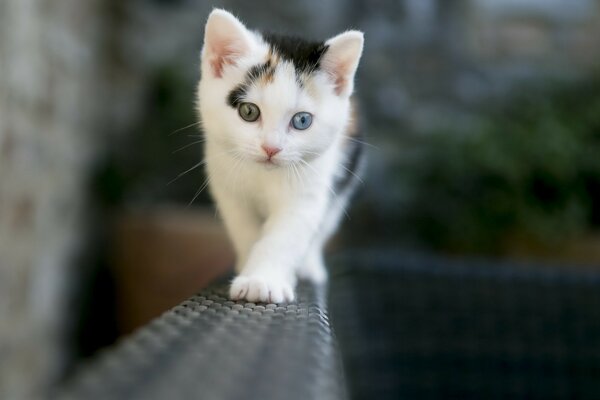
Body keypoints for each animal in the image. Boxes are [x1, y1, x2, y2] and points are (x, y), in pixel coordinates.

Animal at [198, 8, 366, 304]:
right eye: (249, 112)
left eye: (302, 120)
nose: (271, 148)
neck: (263, 175)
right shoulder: (227, 185)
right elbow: (244, 229)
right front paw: (249, 267)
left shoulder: (311, 187)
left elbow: (287, 234)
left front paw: (262, 280)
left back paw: (309, 267)